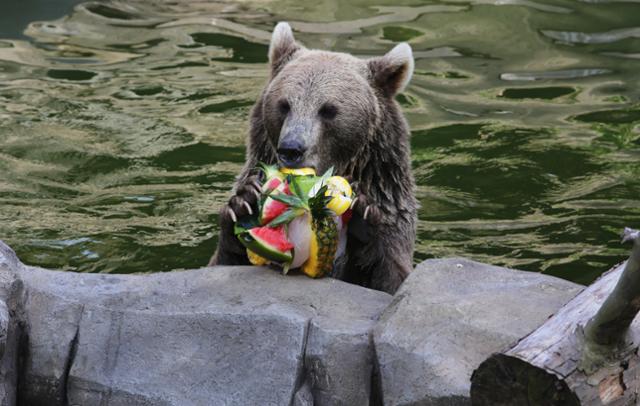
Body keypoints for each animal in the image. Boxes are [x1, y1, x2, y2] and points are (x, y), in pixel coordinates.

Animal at [210, 22, 418, 294]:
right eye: (284, 104)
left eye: (329, 110)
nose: (291, 149)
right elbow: (222, 260)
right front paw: (244, 204)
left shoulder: (388, 198)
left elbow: (391, 274)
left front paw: (362, 214)